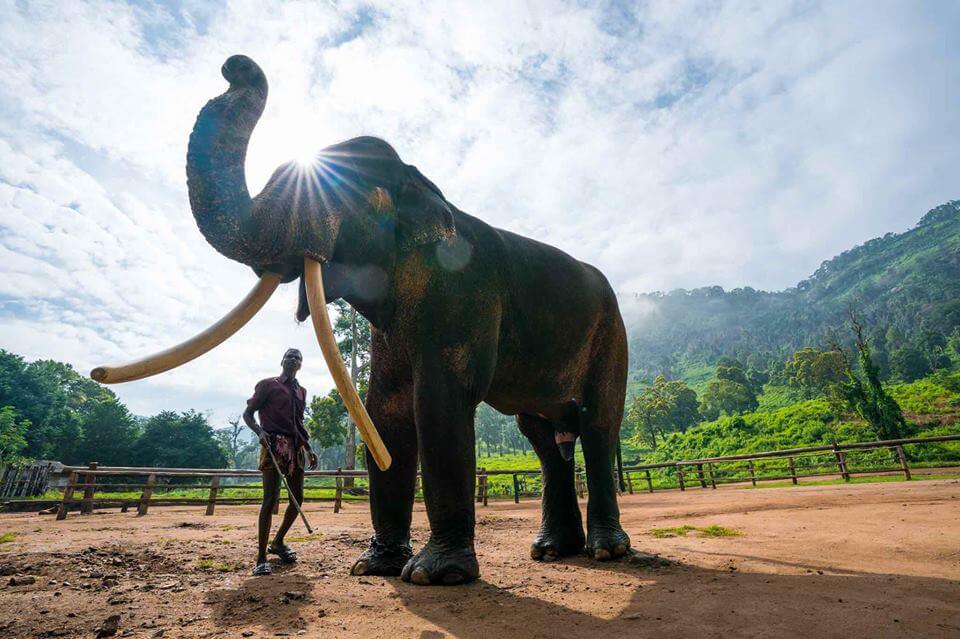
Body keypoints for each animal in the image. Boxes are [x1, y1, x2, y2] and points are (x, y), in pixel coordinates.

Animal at [95, 55, 631, 585]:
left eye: (336, 197)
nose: (236, 66)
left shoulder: (464, 293)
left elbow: (439, 400)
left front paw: (434, 574)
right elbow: (385, 408)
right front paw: (374, 566)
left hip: (611, 333)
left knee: (597, 424)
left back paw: (606, 551)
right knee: (541, 436)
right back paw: (552, 550)